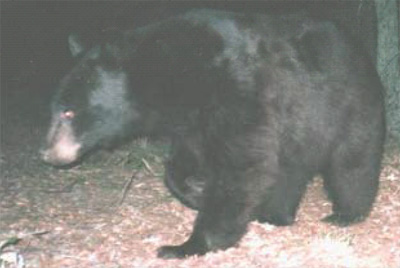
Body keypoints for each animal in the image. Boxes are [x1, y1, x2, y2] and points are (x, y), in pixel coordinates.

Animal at [40, 9, 384, 258]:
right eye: (55, 108)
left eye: (69, 112)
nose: (47, 154)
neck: (178, 75)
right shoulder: (193, 120)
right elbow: (183, 160)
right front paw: (195, 190)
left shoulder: (238, 89)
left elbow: (242, 167)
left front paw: (186, 245)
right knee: (290, 169)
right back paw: (275, 214)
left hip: (346, 106)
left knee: (351, 163)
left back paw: (346, 213)